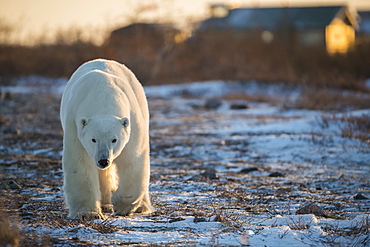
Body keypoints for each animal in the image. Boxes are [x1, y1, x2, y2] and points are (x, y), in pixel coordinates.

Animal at [60, 58, 152, 219]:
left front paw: (121, 205)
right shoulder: (74, 125)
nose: (104, 160)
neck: (103, 95)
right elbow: (79, 163)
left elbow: (133, 159)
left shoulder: (132, 121)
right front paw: (87, 213)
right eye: (93, 139)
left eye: (114, 139)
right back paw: (104, 203)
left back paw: (141, 206)